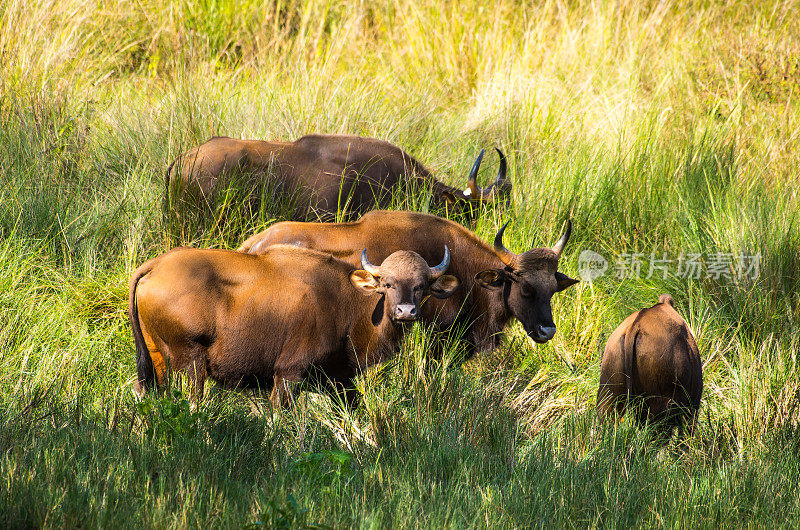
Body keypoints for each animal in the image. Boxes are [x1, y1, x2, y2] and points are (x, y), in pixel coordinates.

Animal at [128, 243, 460, 404]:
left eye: (421, 285)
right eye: (388, 284)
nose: (406, 311)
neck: (347, 303)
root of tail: (156, 264)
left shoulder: (339, 380)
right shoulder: (288, 372)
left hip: (157, 361)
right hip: (191, 363)